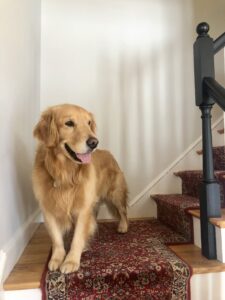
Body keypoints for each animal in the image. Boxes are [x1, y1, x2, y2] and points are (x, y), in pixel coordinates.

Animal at [32, 103, 129, 274]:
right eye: (69, 123)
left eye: (89, 123)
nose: (94, 142)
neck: (65, 173)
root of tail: (109, 153)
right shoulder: (48, 209)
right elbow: (56, 239)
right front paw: (57, 258)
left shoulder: (83, 208)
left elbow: (78, 237)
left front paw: (71, 260)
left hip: (115, 193)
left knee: (123, 211)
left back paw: (123, 226)